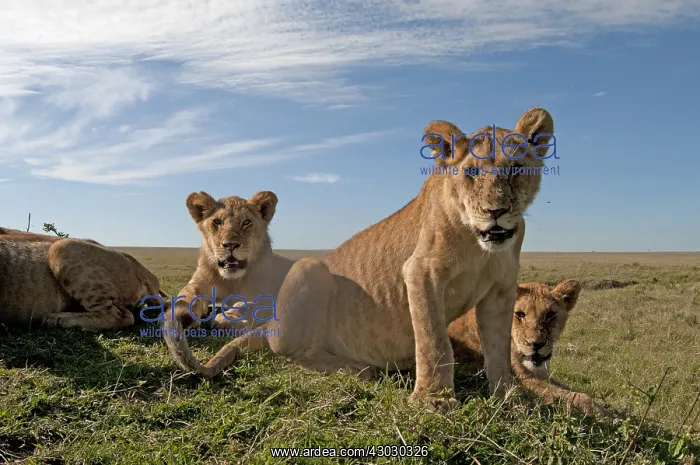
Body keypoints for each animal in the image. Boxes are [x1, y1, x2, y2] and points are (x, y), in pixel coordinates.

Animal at [162, 190, 296, 372]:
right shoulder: (200, 282)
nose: (230, 245)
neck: (231, 280)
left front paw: (227, 319)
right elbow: (188, 292)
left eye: (246, 222)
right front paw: (185, 312)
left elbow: (247, 304)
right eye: (217, 222)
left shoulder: (263, 295)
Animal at [449, 279, 608, 417]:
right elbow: (575, 396)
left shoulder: (542, 374)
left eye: (550, 315)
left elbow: (568, 389)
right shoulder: (521, 379)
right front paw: (605, 415)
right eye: (520, 314)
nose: (536, 344)